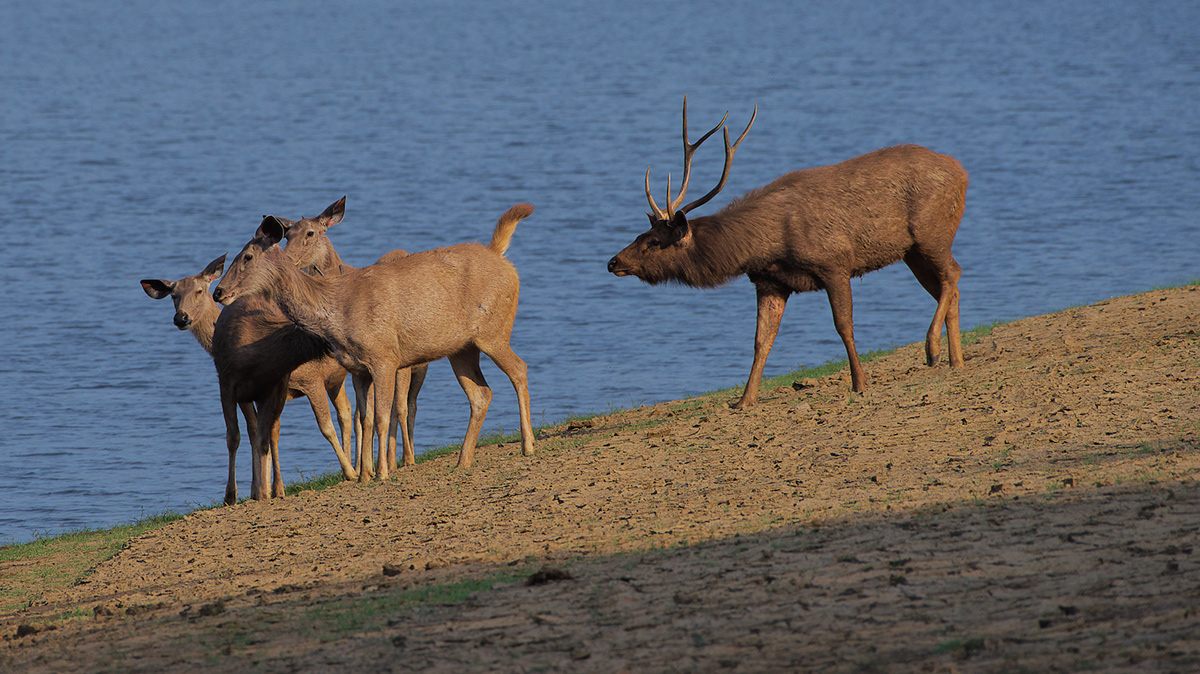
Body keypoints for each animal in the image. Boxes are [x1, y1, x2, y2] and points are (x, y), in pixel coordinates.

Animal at [213, 201, 537, 491]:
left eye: (247, 257)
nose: (218, 291)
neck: (337, 314)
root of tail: (501, 258)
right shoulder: (358, 368)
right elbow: (364, 418)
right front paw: (364, 474)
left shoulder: (385, 357)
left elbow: (382, 416)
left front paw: (381, 473)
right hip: (461, 348)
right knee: (482, 394)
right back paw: (463, 460)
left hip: (494, 330)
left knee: (519, 369)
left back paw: (528, 445)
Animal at [609, 98, 964, 402]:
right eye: (642, 233)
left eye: (654, 242)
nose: (613, 262)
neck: (769, 244)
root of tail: (961, 171)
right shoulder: (770, 281)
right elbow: (761, 341)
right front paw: (745, 400)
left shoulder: (834, 263)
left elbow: (843, 325)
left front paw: (860, 383)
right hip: (911, 252)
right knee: (948, 286)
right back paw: (956, 359)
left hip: (931, 232)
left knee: (953, 273)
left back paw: (932, 349)